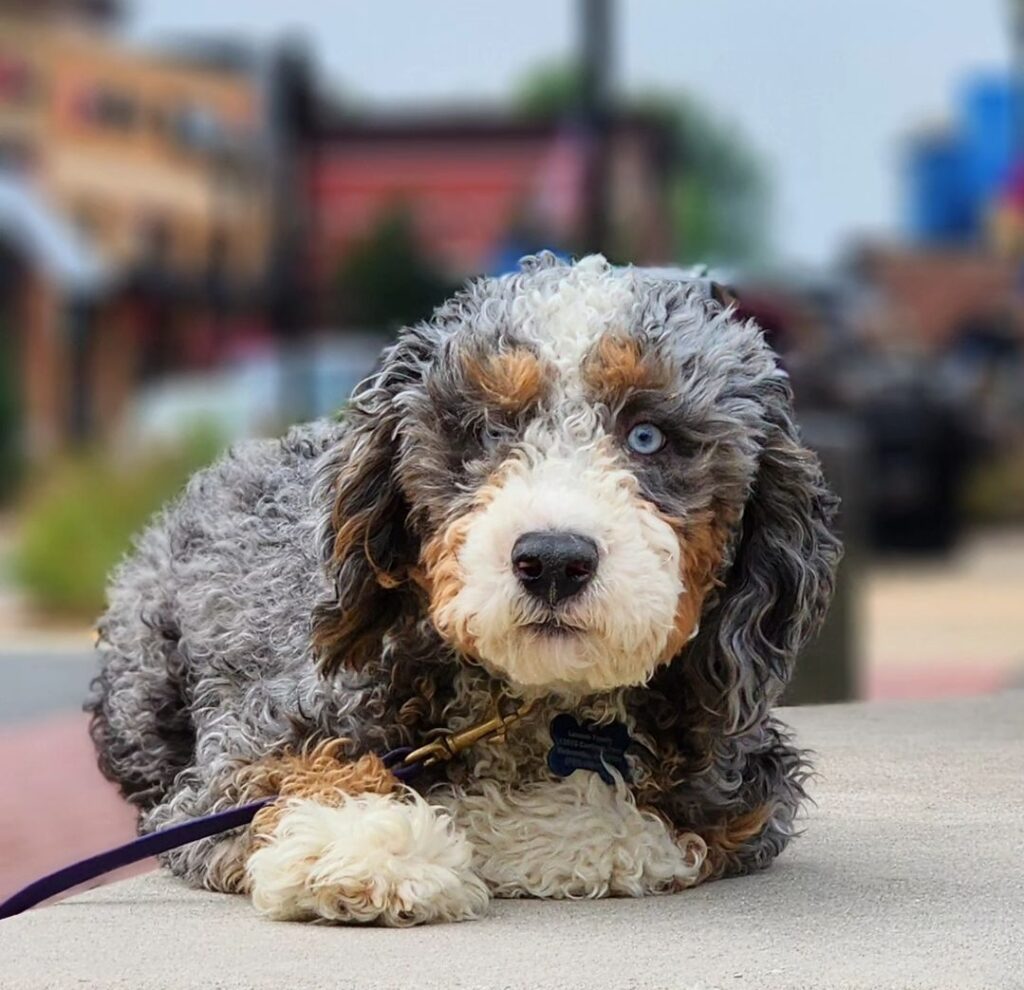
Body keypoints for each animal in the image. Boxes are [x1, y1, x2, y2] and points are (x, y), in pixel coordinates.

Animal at [88, 251, 839, 925]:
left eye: (648, 435)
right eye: (486, 430)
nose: (554, 559)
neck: (531, 703)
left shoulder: (738, 792)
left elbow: (610, 819)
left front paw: (463, 823)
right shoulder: (229, 766)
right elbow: (282, 779)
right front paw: (366, 846)